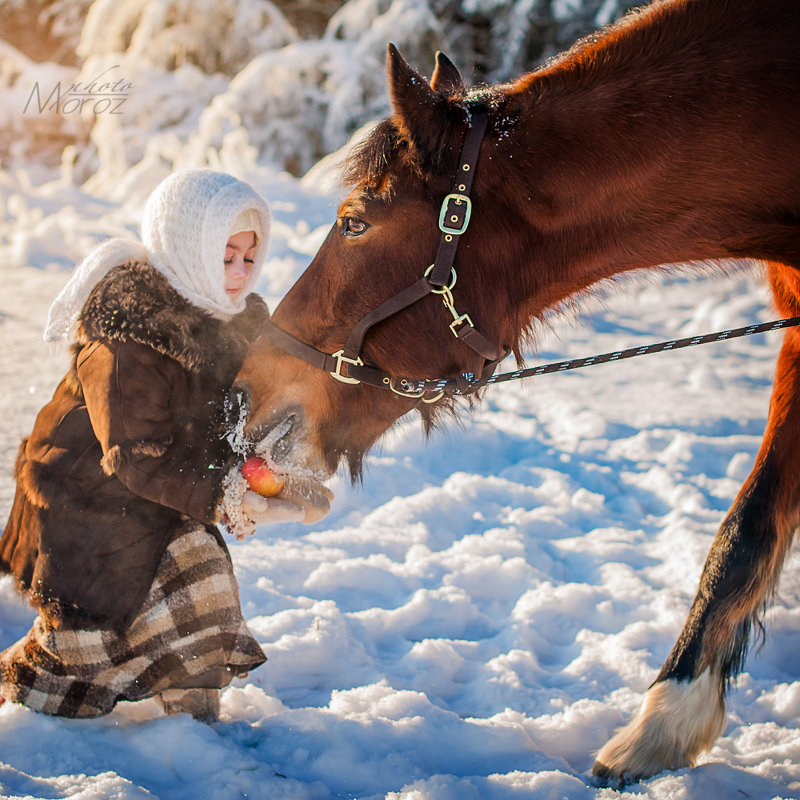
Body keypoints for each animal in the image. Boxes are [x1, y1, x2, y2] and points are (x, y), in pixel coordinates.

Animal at [234, 0, 800, 788]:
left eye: (353, 221)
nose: (247, 386)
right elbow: (750, 525)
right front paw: (668, 724)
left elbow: (747, 526)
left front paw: (663, 722)